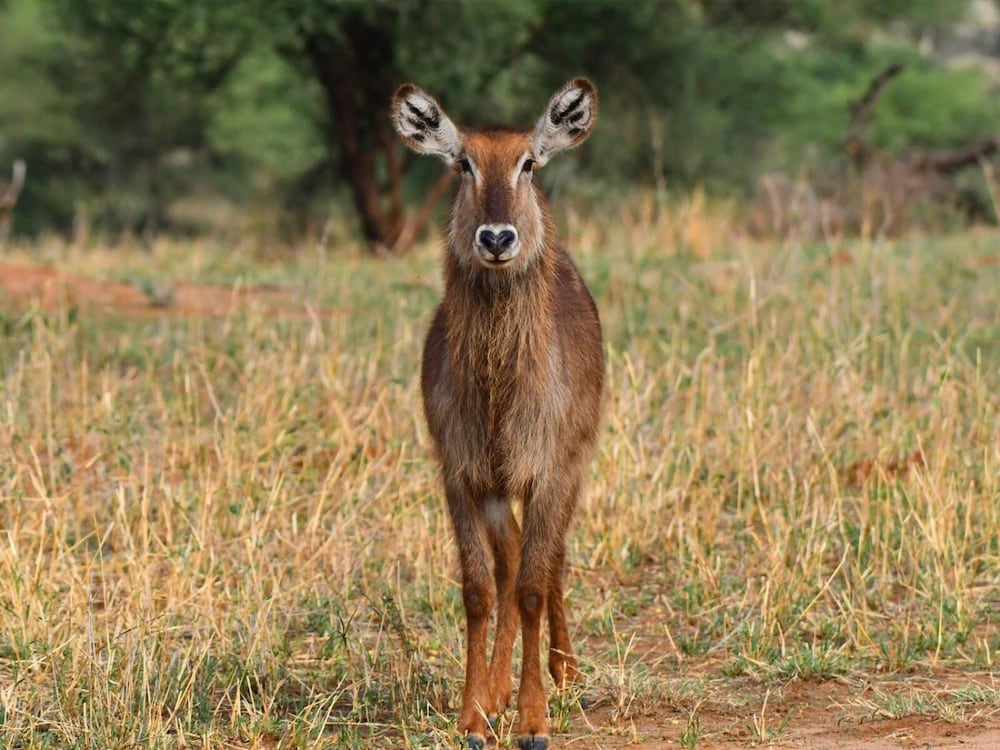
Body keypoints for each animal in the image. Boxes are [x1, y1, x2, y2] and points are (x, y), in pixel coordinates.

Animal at [392, 79, 603, 749]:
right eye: (463, 163)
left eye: (528, 163)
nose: (496, 239)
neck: (498, 393)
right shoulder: (462, 476)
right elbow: (481, 592)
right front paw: (474, 715)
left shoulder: (549, 473)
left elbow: (533, 588)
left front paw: (534, 719)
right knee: (509, 562)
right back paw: (497, 689)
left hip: (576, 464)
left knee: (550, 558)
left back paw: (565, 673)